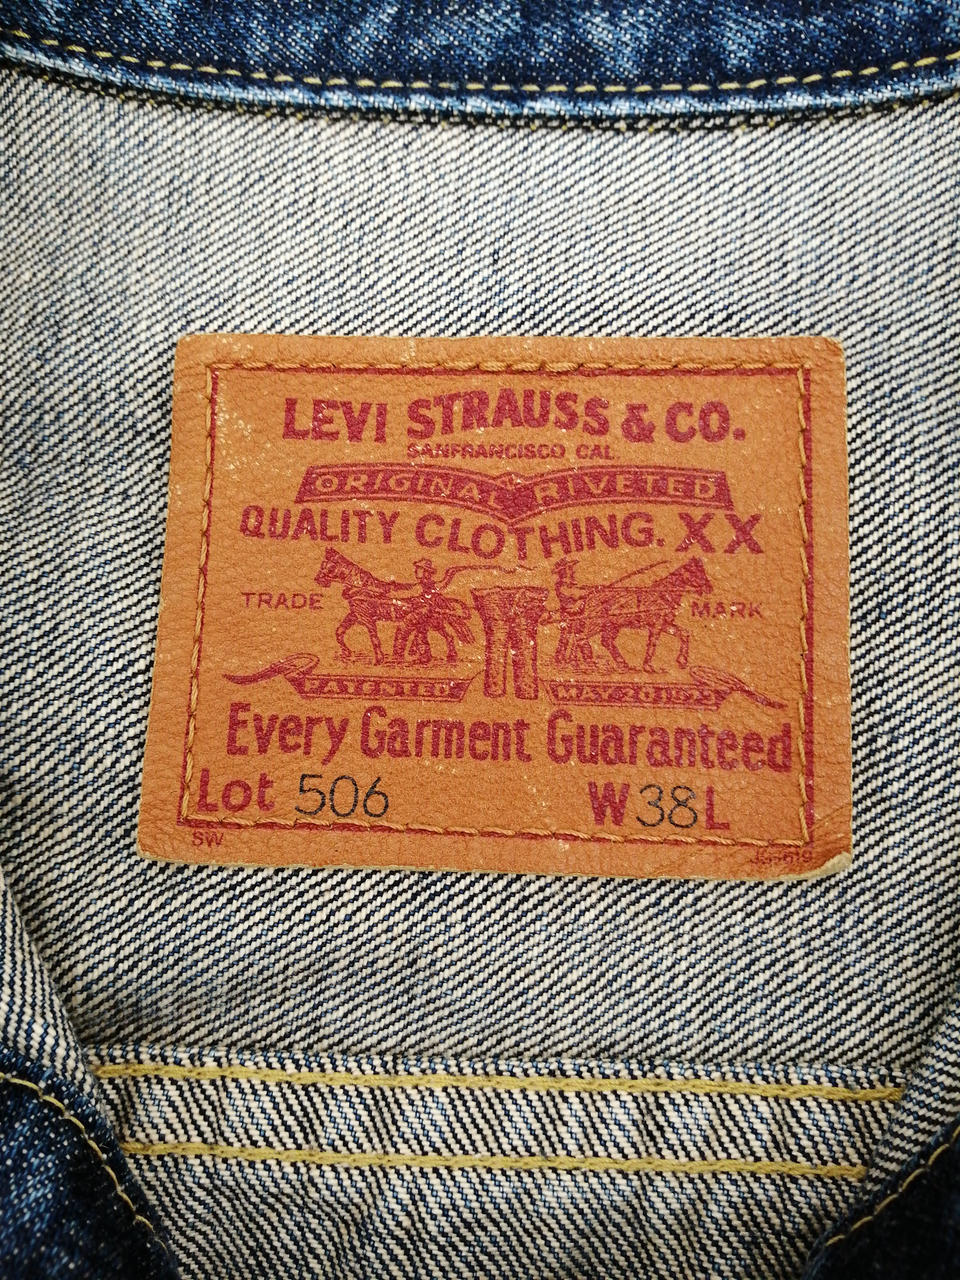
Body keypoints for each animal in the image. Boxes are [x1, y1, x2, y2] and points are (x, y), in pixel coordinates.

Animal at [313, 547, 474, 665]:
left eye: (326, 565)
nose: (318, 580)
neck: (361, 588)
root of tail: (434, 593)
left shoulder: (367, 618)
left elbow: (374, 638)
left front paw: (379, 659)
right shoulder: (355, 615)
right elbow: (339, 631)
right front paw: (346, 653)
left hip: (431, 621)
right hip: (432, 622)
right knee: (442, 635)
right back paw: (437, 657)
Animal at [553, 557, 712, 674]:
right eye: (696, 572)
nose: (709, 588)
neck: (663, 594)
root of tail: (589, 596)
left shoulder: (664, 624)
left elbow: (684, 633)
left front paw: (682, 661)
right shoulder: (656, 625)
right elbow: (652, 644)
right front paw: (648, 666)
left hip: (611, 625)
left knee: (604, 641)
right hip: (595, 624)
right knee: (580, 637)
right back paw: (583, 663)